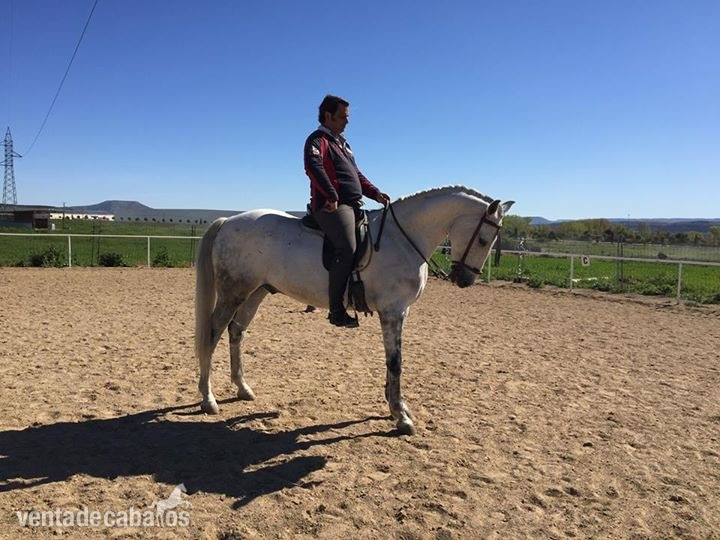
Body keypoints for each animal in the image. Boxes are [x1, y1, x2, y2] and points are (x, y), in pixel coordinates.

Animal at [194, 186, 514, 435]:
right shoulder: (393, 312)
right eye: (484, 239)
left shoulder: (400, 314)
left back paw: (243, 388)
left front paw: (395, 404)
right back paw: (208, 398)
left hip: (256, 292)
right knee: (212, 334)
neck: (402, 238)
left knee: (236, 332)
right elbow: (396, 363)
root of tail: (229, 220)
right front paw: (400, 416)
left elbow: (393, 361)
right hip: (233, 292)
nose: (465, 279)